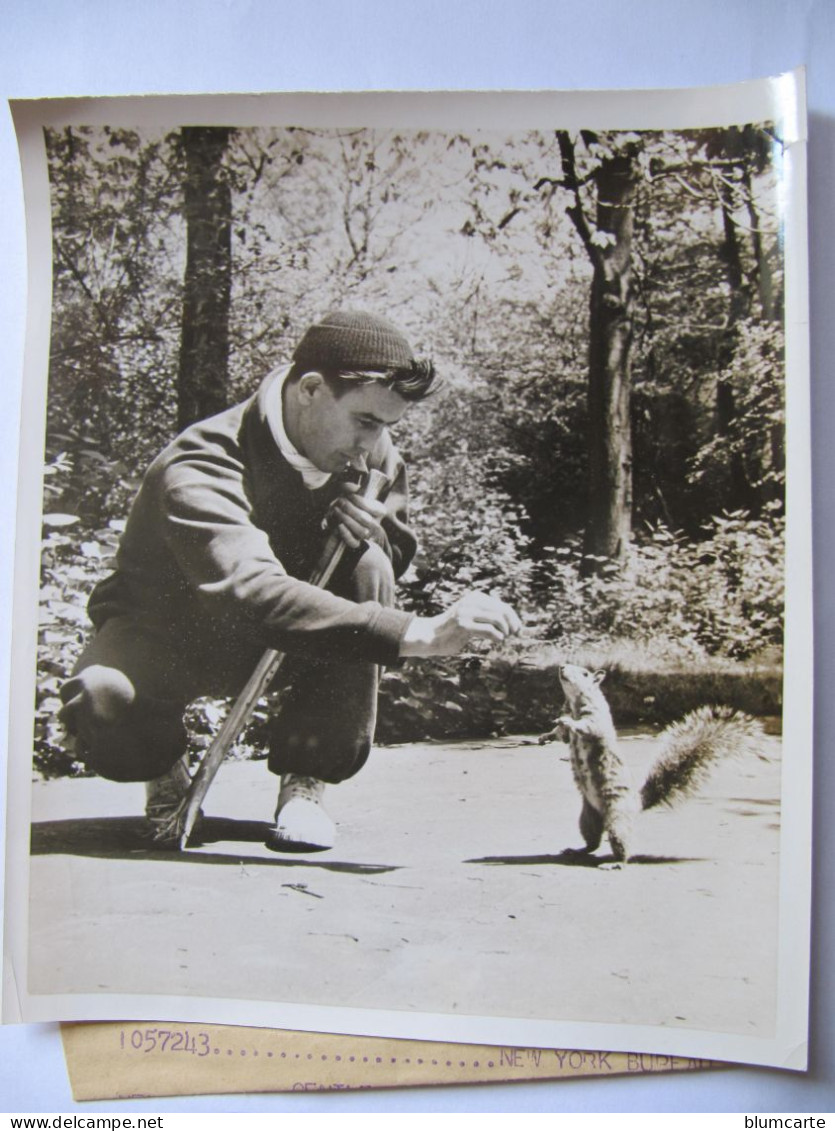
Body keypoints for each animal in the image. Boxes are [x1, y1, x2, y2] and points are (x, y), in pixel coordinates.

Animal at [536, 660, 764, 864]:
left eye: (584, 673)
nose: (562, 667)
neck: (574, 704)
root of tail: (636, 803)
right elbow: (562, 735)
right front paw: (547, 735)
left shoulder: (596, 719)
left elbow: (587, 726)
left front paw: (567, 721)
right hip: (588, 817)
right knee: (592, 841)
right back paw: (577, 850)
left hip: (617, 815)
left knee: (620, 843)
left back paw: (616, 862)